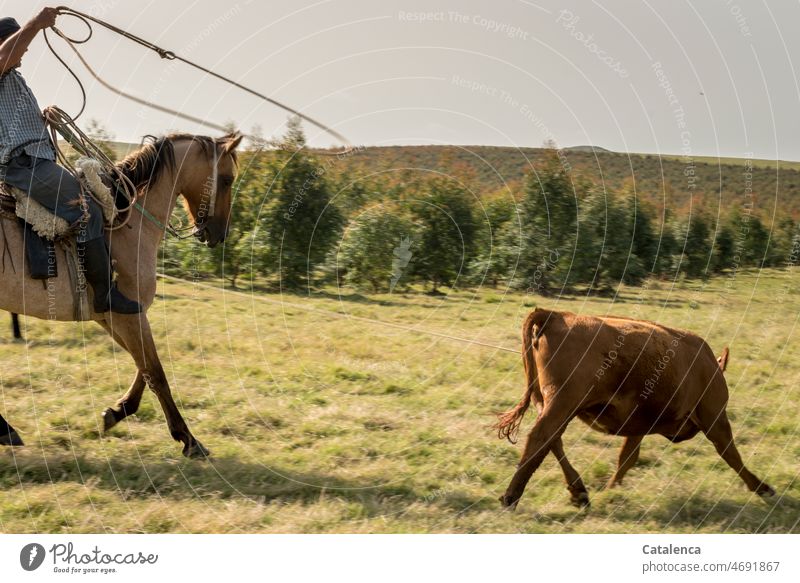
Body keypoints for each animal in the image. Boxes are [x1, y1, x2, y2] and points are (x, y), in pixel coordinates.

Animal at [0, 132, 244, 456]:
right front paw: (188, 439)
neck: (127, 222)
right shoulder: (128, 314)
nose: (221, 234)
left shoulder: (114, 316)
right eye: (227, 179)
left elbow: (143, 364)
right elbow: (155, 371)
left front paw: (119, 410)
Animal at [494, 310, 776, 512]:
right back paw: (511, 497)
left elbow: (628, 457)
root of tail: (556, 314)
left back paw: (579, 493)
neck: (708, 366)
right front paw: (762, 487)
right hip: (562, 404)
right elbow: (731, 454)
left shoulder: (638, 425)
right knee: (541, 438)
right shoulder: (715, 416)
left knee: (552, 441)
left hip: (552, 404)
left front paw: (611, 489)